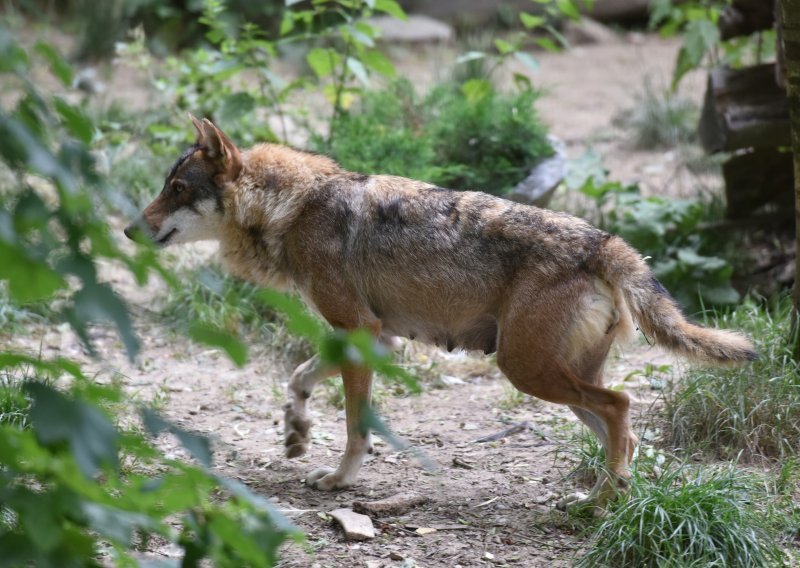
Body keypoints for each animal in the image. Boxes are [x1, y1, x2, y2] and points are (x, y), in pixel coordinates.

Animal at [125, 116, 756, 510]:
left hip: (525, 372)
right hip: (553, 377)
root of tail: (605, 242)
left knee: (622, 407)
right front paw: (296, 434)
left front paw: (338, 479)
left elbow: (356, 427)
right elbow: (299, 378)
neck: (292, 206)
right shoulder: (371, 337)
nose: (129, 230)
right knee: (623, 434)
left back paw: (598, 502)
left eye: (177, 188)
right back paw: (606, 499)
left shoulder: (361, 331)